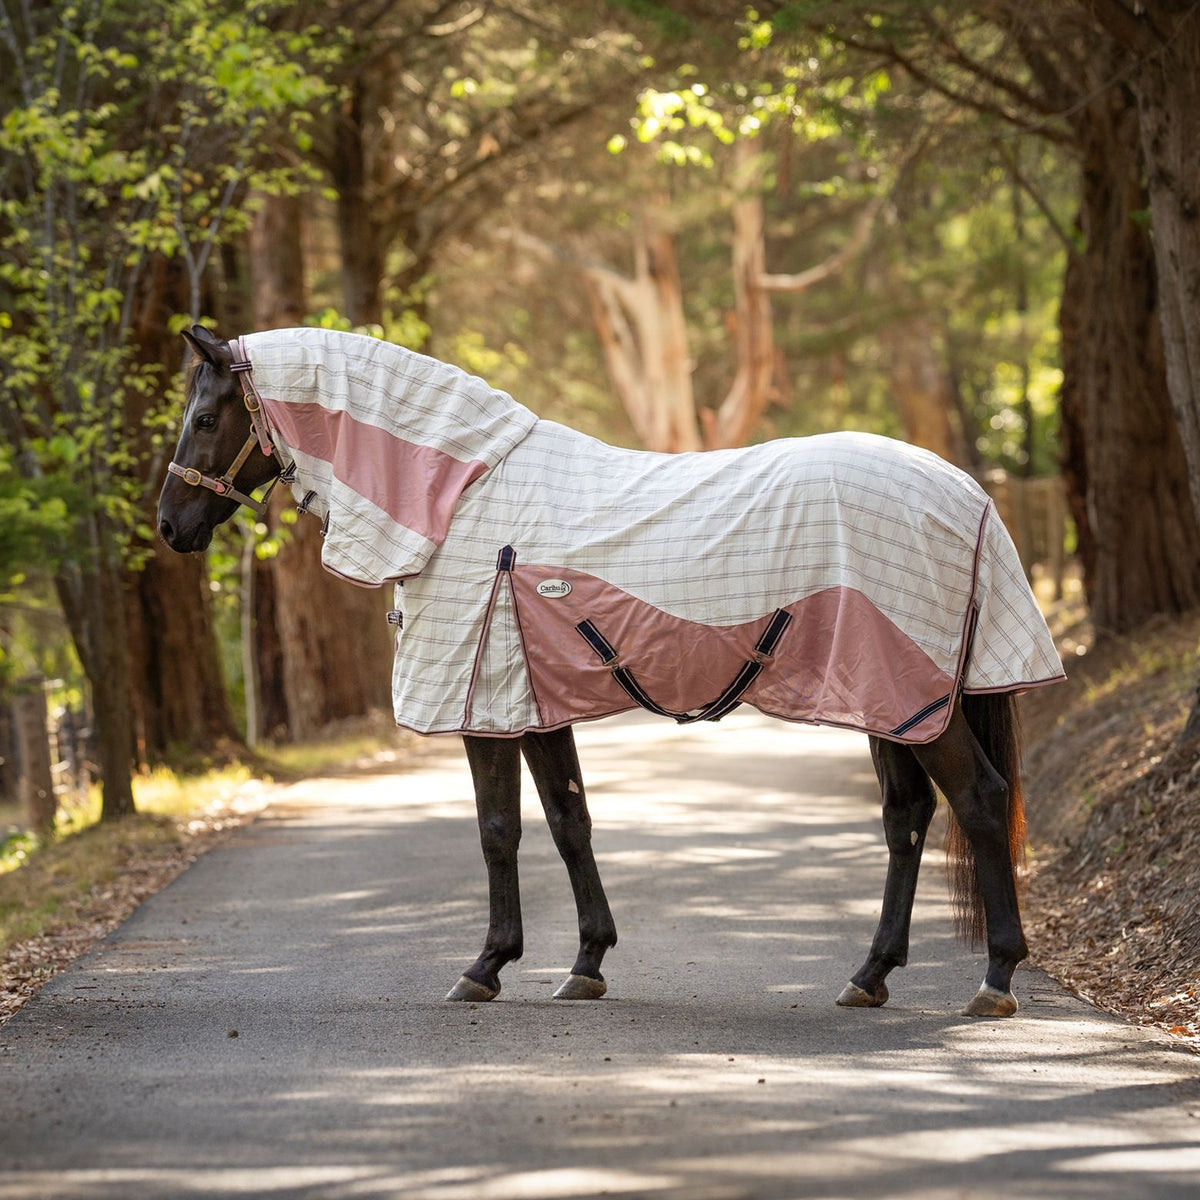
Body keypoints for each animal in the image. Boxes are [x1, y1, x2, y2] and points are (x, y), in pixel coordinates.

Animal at [157, 324, 1064, 1017]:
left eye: (204, 417)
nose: (170, 528)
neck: (461, 499)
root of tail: (968, 493)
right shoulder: (533, 705)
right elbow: (570, 823)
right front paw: (586, 963)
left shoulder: (484, 706)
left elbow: (497, 830)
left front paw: (485, 968)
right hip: (892, 704)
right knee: (907, 818)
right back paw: (869, 976)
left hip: (916, 704)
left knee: (980, 803)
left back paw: (994, 980)